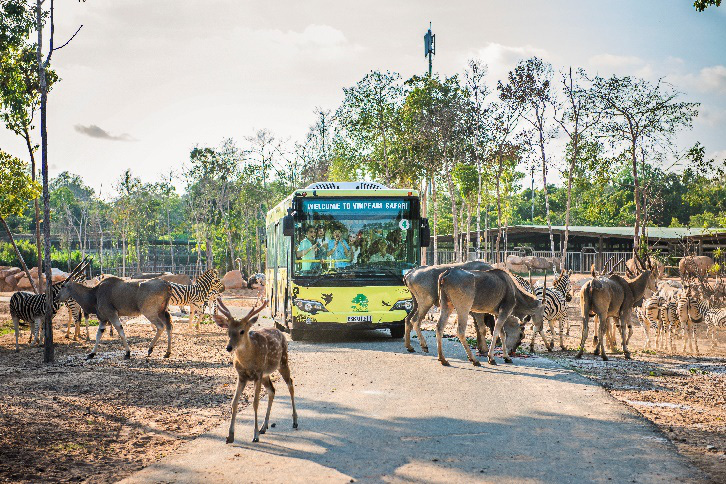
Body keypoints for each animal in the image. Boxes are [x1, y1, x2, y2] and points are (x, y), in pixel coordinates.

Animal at [213, 298, 298, 442]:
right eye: (228, 330)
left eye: (242, 331)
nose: (229, 347)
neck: (248, 362)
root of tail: (280, 331)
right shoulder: (242, 376)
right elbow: (234, 402)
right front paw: (230, 436)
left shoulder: (257, 374)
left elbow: (255, 403)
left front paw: (255, 435)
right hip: (266, 374)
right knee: (272, 390)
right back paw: (264, 427)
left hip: (282, 361)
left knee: (290, 384)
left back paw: (295, 421)